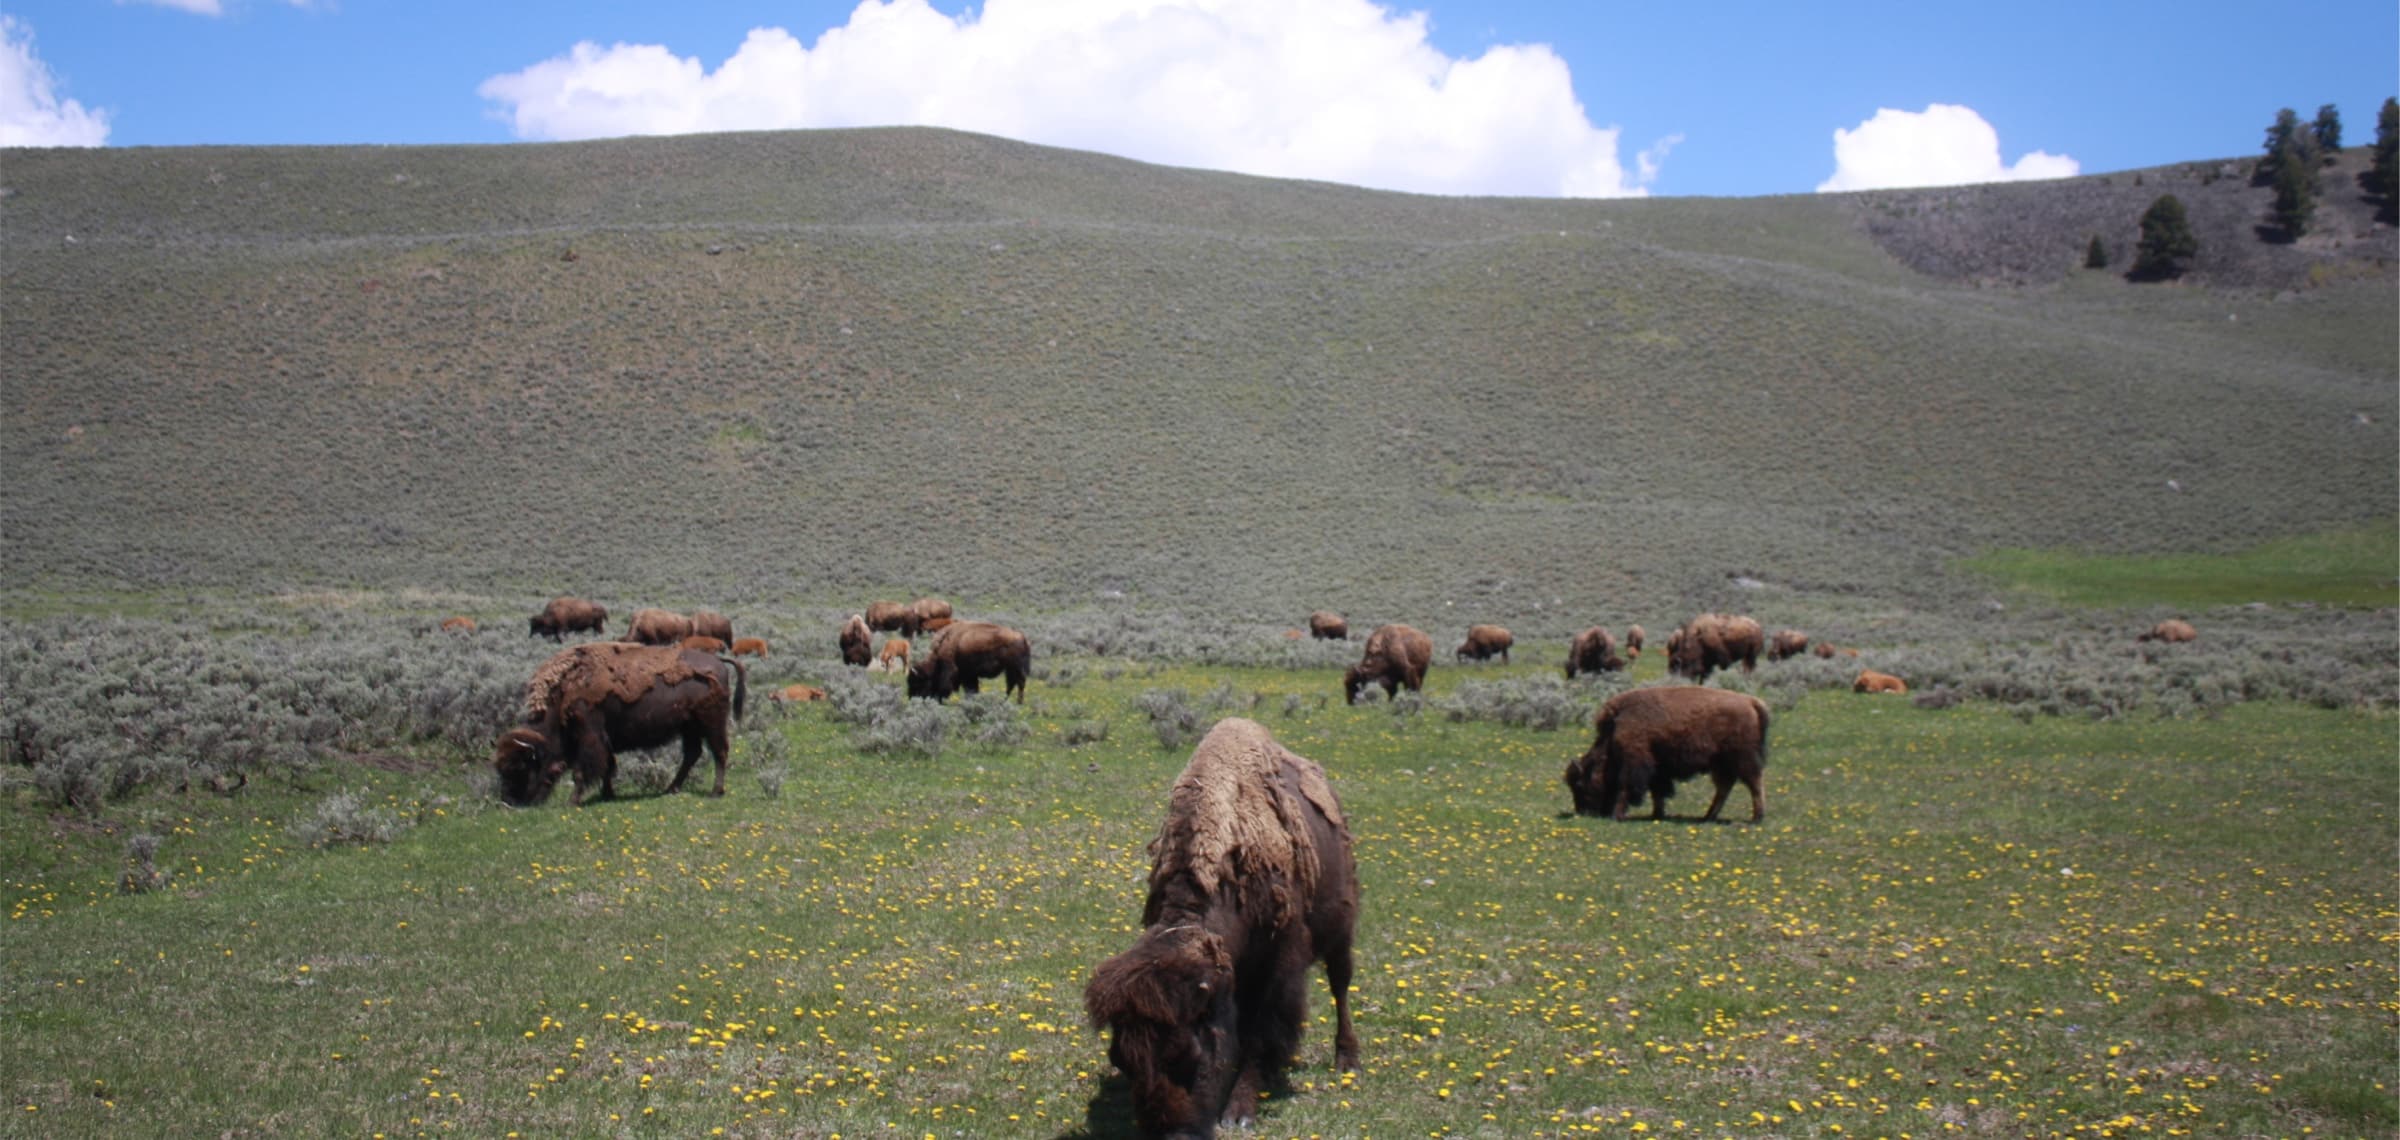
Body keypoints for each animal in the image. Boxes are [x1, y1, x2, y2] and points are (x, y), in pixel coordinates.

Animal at [493, 642, 746, 807]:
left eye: (521, 767)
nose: (509, 801)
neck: (565, 691)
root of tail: (718, 662)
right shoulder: (604, 740)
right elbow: (607, 766)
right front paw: (607, 795)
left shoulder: (589, 736)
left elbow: (582, 771)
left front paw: (572, 801)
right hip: (689, 727)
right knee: (693, 754)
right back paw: (671, 788)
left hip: (710, 724)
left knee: (719, 752)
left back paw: (715, 791)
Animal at [1084, 718, 1359, 1138]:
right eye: (1120, 1060)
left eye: (1189, 1053)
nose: (1173, 1135)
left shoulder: (1280, 964)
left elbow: (1262, 1033)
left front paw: (1239, 1112)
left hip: (1341, 928)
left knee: (1340, 984)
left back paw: (1347, 1059)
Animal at [1565, 686, 1770, 823]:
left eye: (1579, 785)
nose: (1583, 812)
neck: (1615, 728)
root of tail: (1752, 702)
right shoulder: (1657, 768)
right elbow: (1658, 791)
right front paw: (1657, 814)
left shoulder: (1635, 762)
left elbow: (1626, 788)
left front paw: (1617, 815)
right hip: (1720, 765)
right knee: (1724, 788)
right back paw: (1707, 817)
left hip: (1741, 760)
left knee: (1754, 784)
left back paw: (1756, 818)